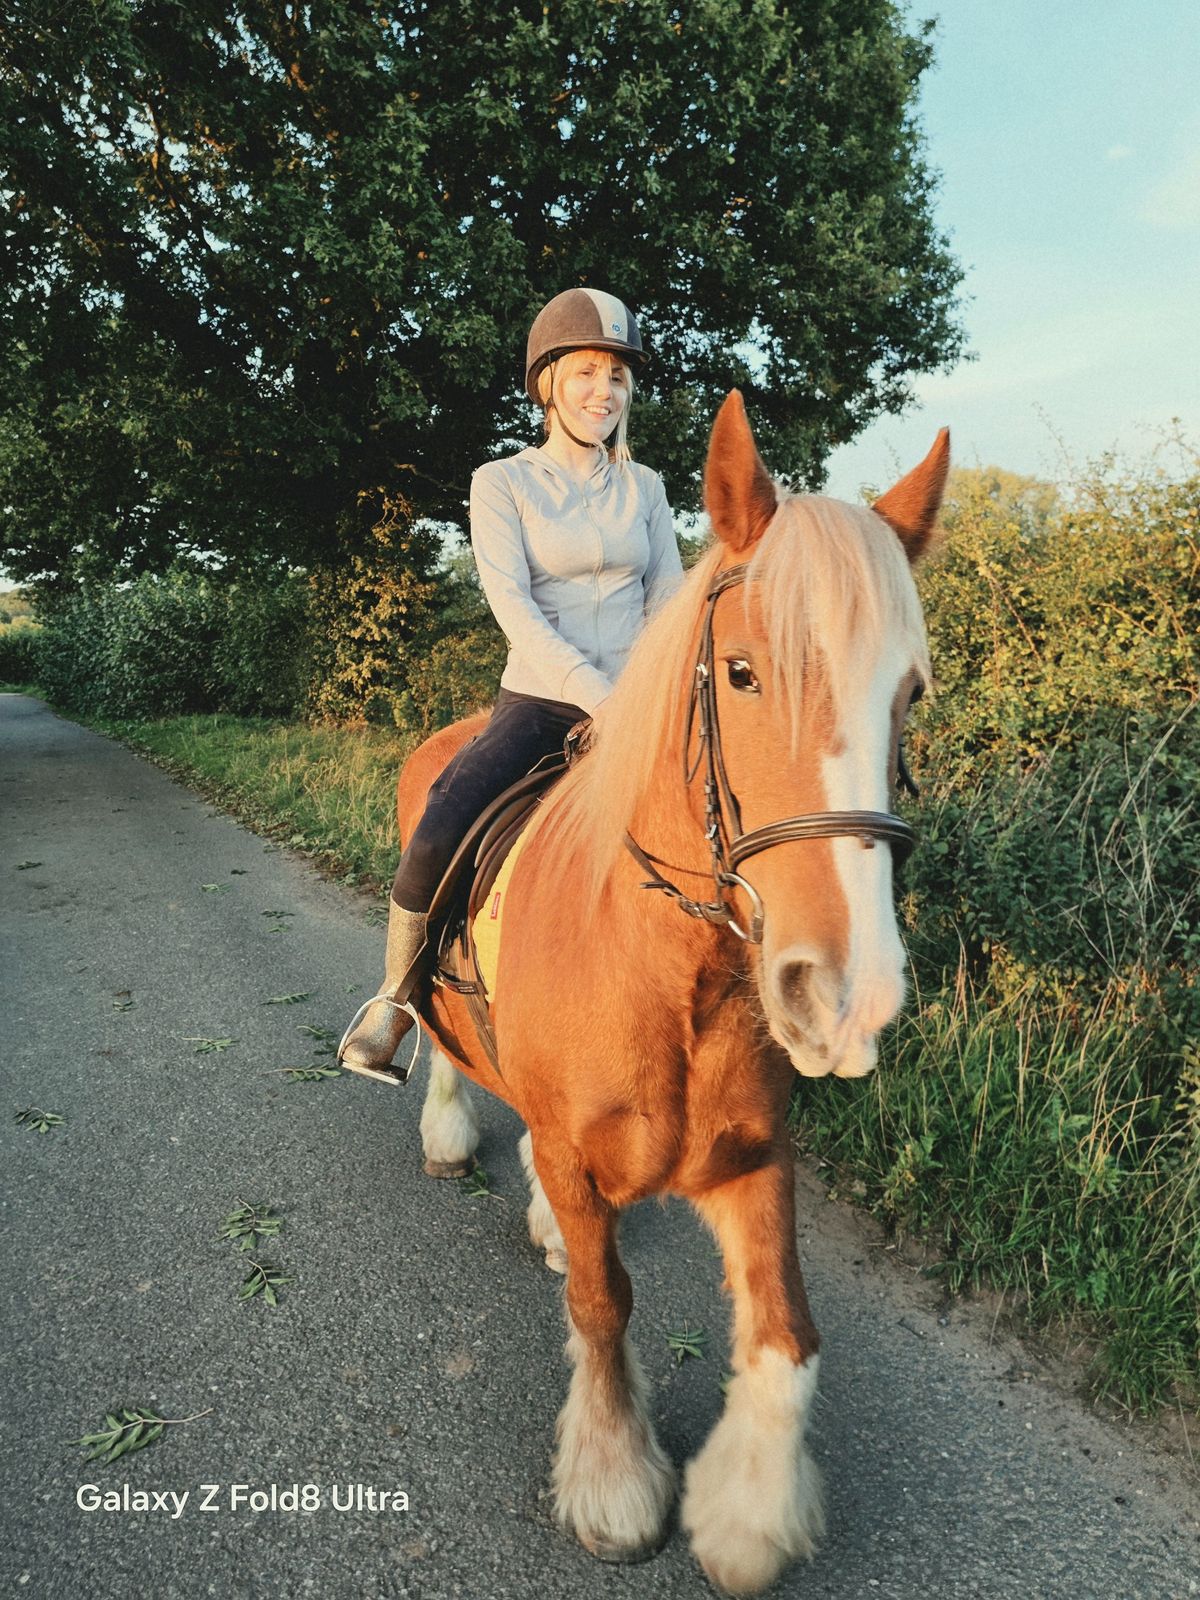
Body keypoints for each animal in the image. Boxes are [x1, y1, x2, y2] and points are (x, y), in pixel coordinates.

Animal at [397, 390, 947, 1594]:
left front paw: (746, 1518)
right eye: (740, 673)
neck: (666, 973)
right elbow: (603, 1305)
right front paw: (614, 1485)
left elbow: (787, 1337)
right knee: (435, 1040)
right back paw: (448, 1132)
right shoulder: (575, 1145)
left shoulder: (754, 1158)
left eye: (911, 692)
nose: (848, 996)